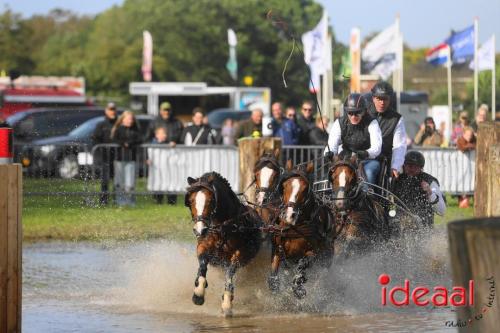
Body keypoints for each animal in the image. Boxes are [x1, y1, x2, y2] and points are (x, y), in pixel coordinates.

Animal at [185, 172, 262, 316]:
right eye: (191, 201)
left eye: (211, 201)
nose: (200, 230)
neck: (223, 227)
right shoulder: (203, 246)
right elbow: (202, 264)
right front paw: (198, 293)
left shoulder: (240, 253)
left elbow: (230, 273)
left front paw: (227, 302)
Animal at [268, 160, 334, 296]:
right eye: (284, 186)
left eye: (305, 189)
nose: (289, 215)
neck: (294, 228)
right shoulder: (277, 249)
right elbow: (273, 279)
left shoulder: (314, 253)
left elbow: (302, 264)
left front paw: (298, 286)